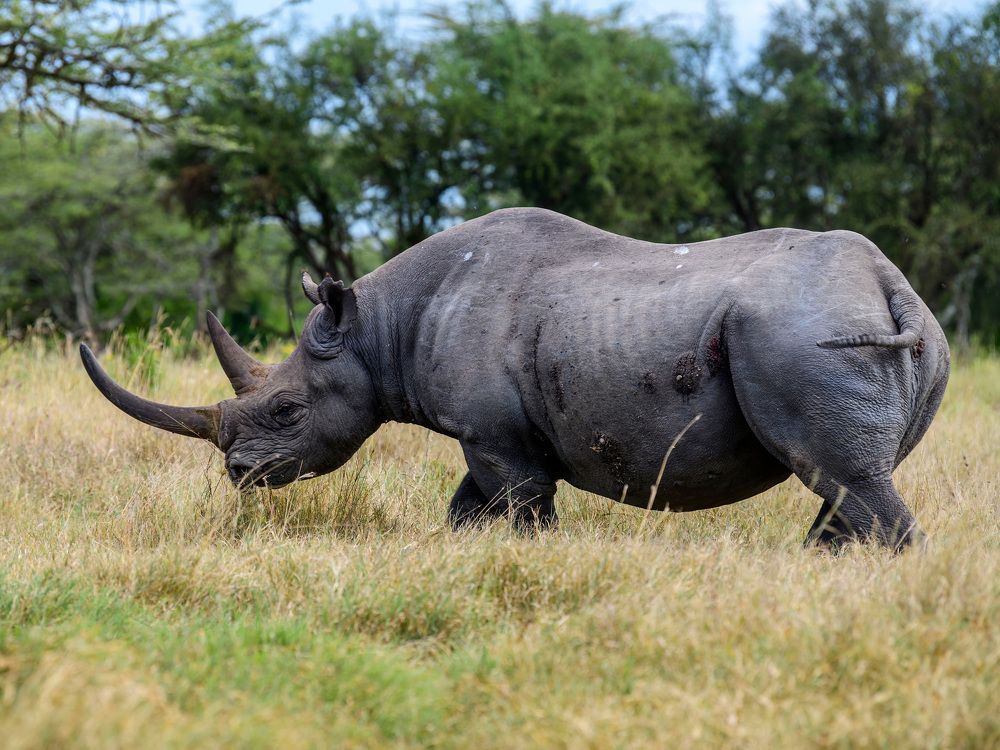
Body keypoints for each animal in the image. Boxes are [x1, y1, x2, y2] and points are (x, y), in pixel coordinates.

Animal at [81, 208, 950, 548]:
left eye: (288, 410)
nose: (238, 473)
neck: (376, 328)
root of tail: (891, 284)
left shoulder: (496, 436)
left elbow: (522, 510)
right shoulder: (494, 432)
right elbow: (467, 512)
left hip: (801, 332)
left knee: (839, 478)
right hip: (902, 346)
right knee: (848, 480)